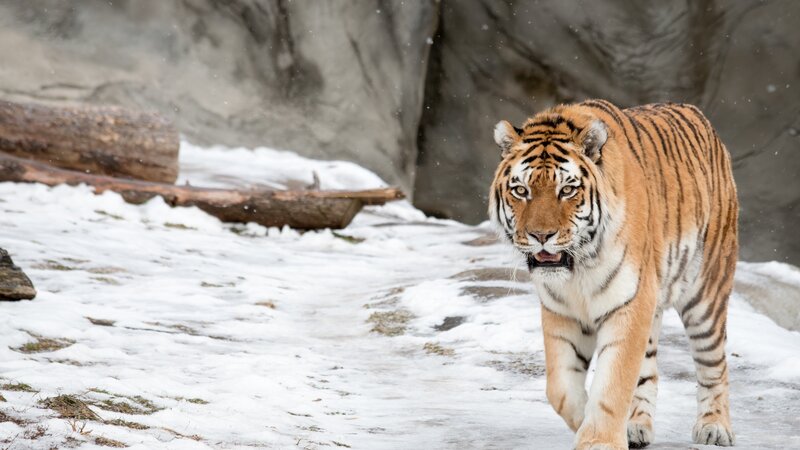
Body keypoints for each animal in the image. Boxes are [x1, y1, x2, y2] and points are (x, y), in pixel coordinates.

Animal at [488, 99, 737, 450]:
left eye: (567, 190)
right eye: (521, 190)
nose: (541, 235)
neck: (577, 269)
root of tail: (699, 115)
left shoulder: (629, 304)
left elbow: (613, 382)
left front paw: (599, 440)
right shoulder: (561, 311)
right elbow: (560, 387)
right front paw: (587, 422)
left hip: (706, 293)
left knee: (713, 363)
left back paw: (714, 427)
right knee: (648, 372)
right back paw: (635, 426)